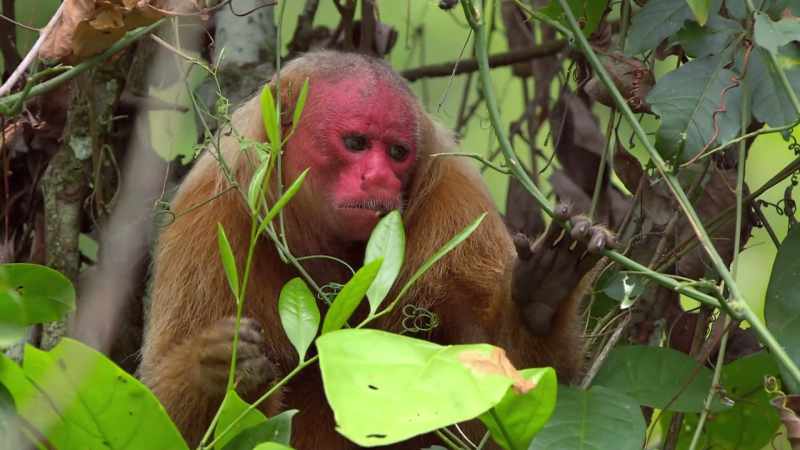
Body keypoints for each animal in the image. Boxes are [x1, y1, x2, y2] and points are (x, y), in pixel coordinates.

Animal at [138, 50, 614, 449]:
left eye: (398, 152)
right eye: (356, 143)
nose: (381, 178)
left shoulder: (457, 204)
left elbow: (497, 408)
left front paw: (540, 300)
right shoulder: (208, 218)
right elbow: (166, 427)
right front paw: (221, 372)